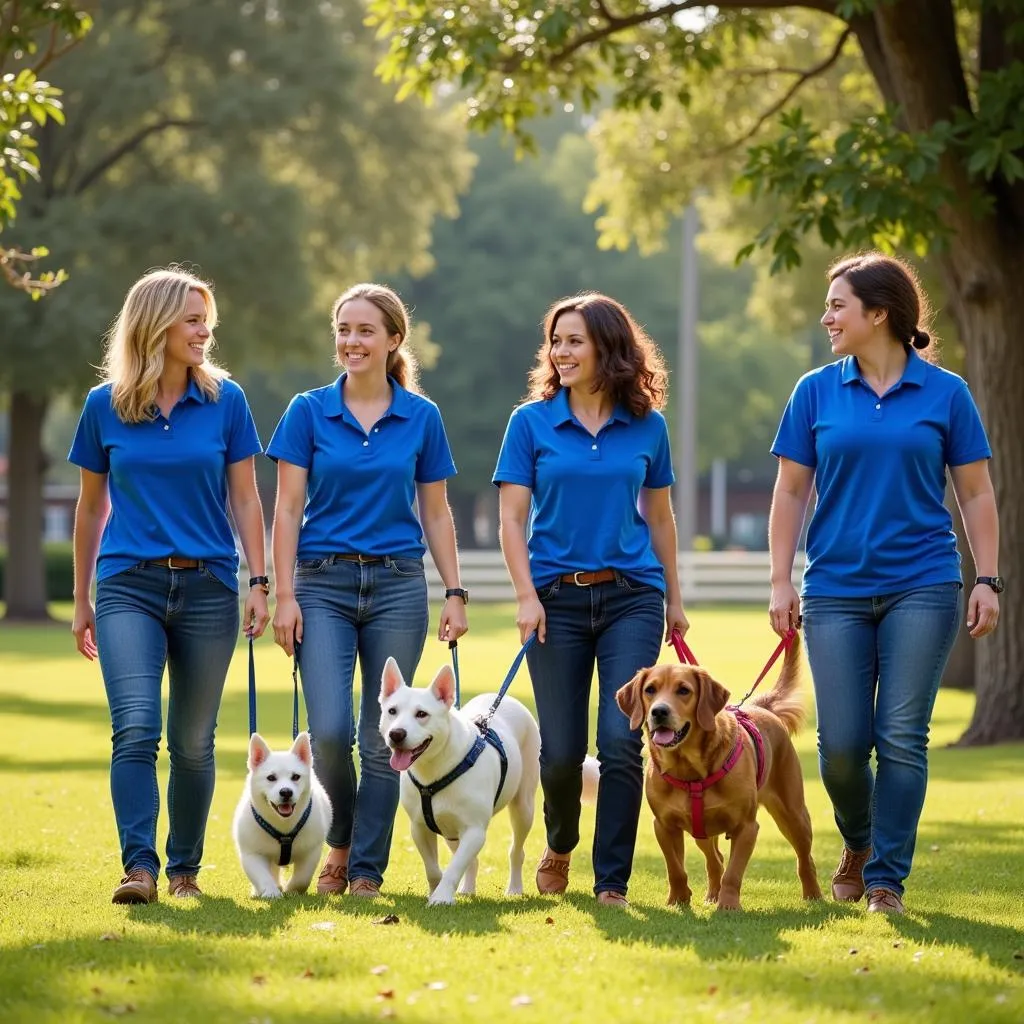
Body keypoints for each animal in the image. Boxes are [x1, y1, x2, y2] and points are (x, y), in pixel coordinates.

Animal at [232, 737, 331, 897]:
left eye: (296, 776)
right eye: (271, 778)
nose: (286, 792)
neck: (283, 824)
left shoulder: (311, 851)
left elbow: (303, 877)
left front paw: (292, 890)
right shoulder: (252, 853)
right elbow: (262, 875)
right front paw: (271, 892)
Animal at [380, 655, 544, 905]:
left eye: (422, 714)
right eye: (392, 711)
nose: (396, 734)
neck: (435, 767)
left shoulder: (475, 830)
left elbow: (455, 866)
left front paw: (441, 897)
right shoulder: (419, 827)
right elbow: (433, 867)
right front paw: (435, 890)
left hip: (523, 805)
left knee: (516, 850)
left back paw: (514, 888)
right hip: (449, 829)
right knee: (469, 858)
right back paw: (467, 889)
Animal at [610, 630, 819, 913]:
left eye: (683, 690)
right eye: (650, 690)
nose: (659, 712)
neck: (690, 770)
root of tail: (761, 708)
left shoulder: (747, 827)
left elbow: (733, 872)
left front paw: (728, 905)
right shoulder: (663, 826)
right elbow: (676, 868)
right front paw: (678, 900)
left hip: (794, 814)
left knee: (804, 858)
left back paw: (813, 895)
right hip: (704, 831)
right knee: (715, 859)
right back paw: (711, 893)